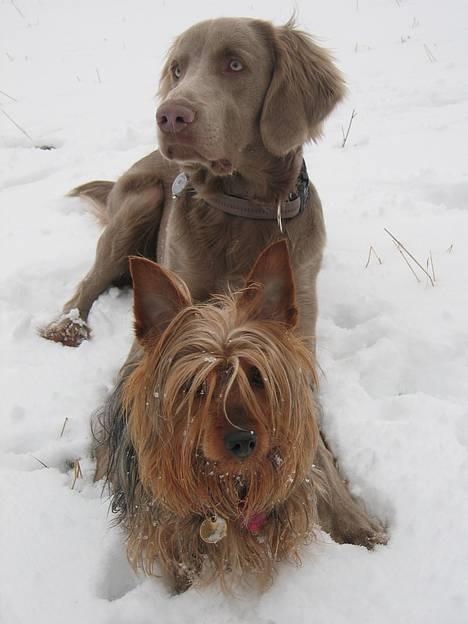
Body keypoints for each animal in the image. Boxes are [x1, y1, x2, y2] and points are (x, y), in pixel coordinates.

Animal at [42, 18, 386, 544]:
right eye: (177, 68)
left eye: (234, 64)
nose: (170, 115)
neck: (244, 211)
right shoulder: (160, 335)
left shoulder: (291, 339)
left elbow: (310, 437)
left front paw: (353, 520)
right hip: (138, 204)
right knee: (86, 285)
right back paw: (68, 327)